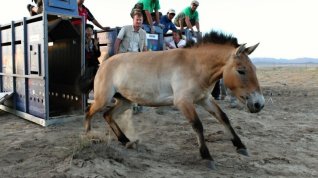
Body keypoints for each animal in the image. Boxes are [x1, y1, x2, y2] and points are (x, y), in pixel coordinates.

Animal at [82, 29, 266, 169]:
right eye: (241, 70)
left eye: (254, 68)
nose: (259, 104)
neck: (195, 65)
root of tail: (104, 63)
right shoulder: (183, 102)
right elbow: (198, 125)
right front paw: (207, 157)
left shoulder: (204, 99)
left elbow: (223, 118)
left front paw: (240, 146)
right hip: (103, 99)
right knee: (89, 112)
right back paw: (88, 136)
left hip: (126, 101)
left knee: (107, 115)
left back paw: (125, 141)